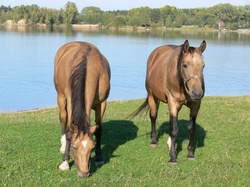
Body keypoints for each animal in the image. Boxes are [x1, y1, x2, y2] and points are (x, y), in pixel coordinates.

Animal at [53, 41, 110, 177]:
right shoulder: (70, 101)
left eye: (92, 147)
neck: (89, 67)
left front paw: (98, 157)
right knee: (63, 117)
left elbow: (99, 129)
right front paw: (65, 162)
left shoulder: (102, 103)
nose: (84, 173)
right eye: (74, 147)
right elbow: (69, 131)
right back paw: (63, 144)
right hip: (61, 97)